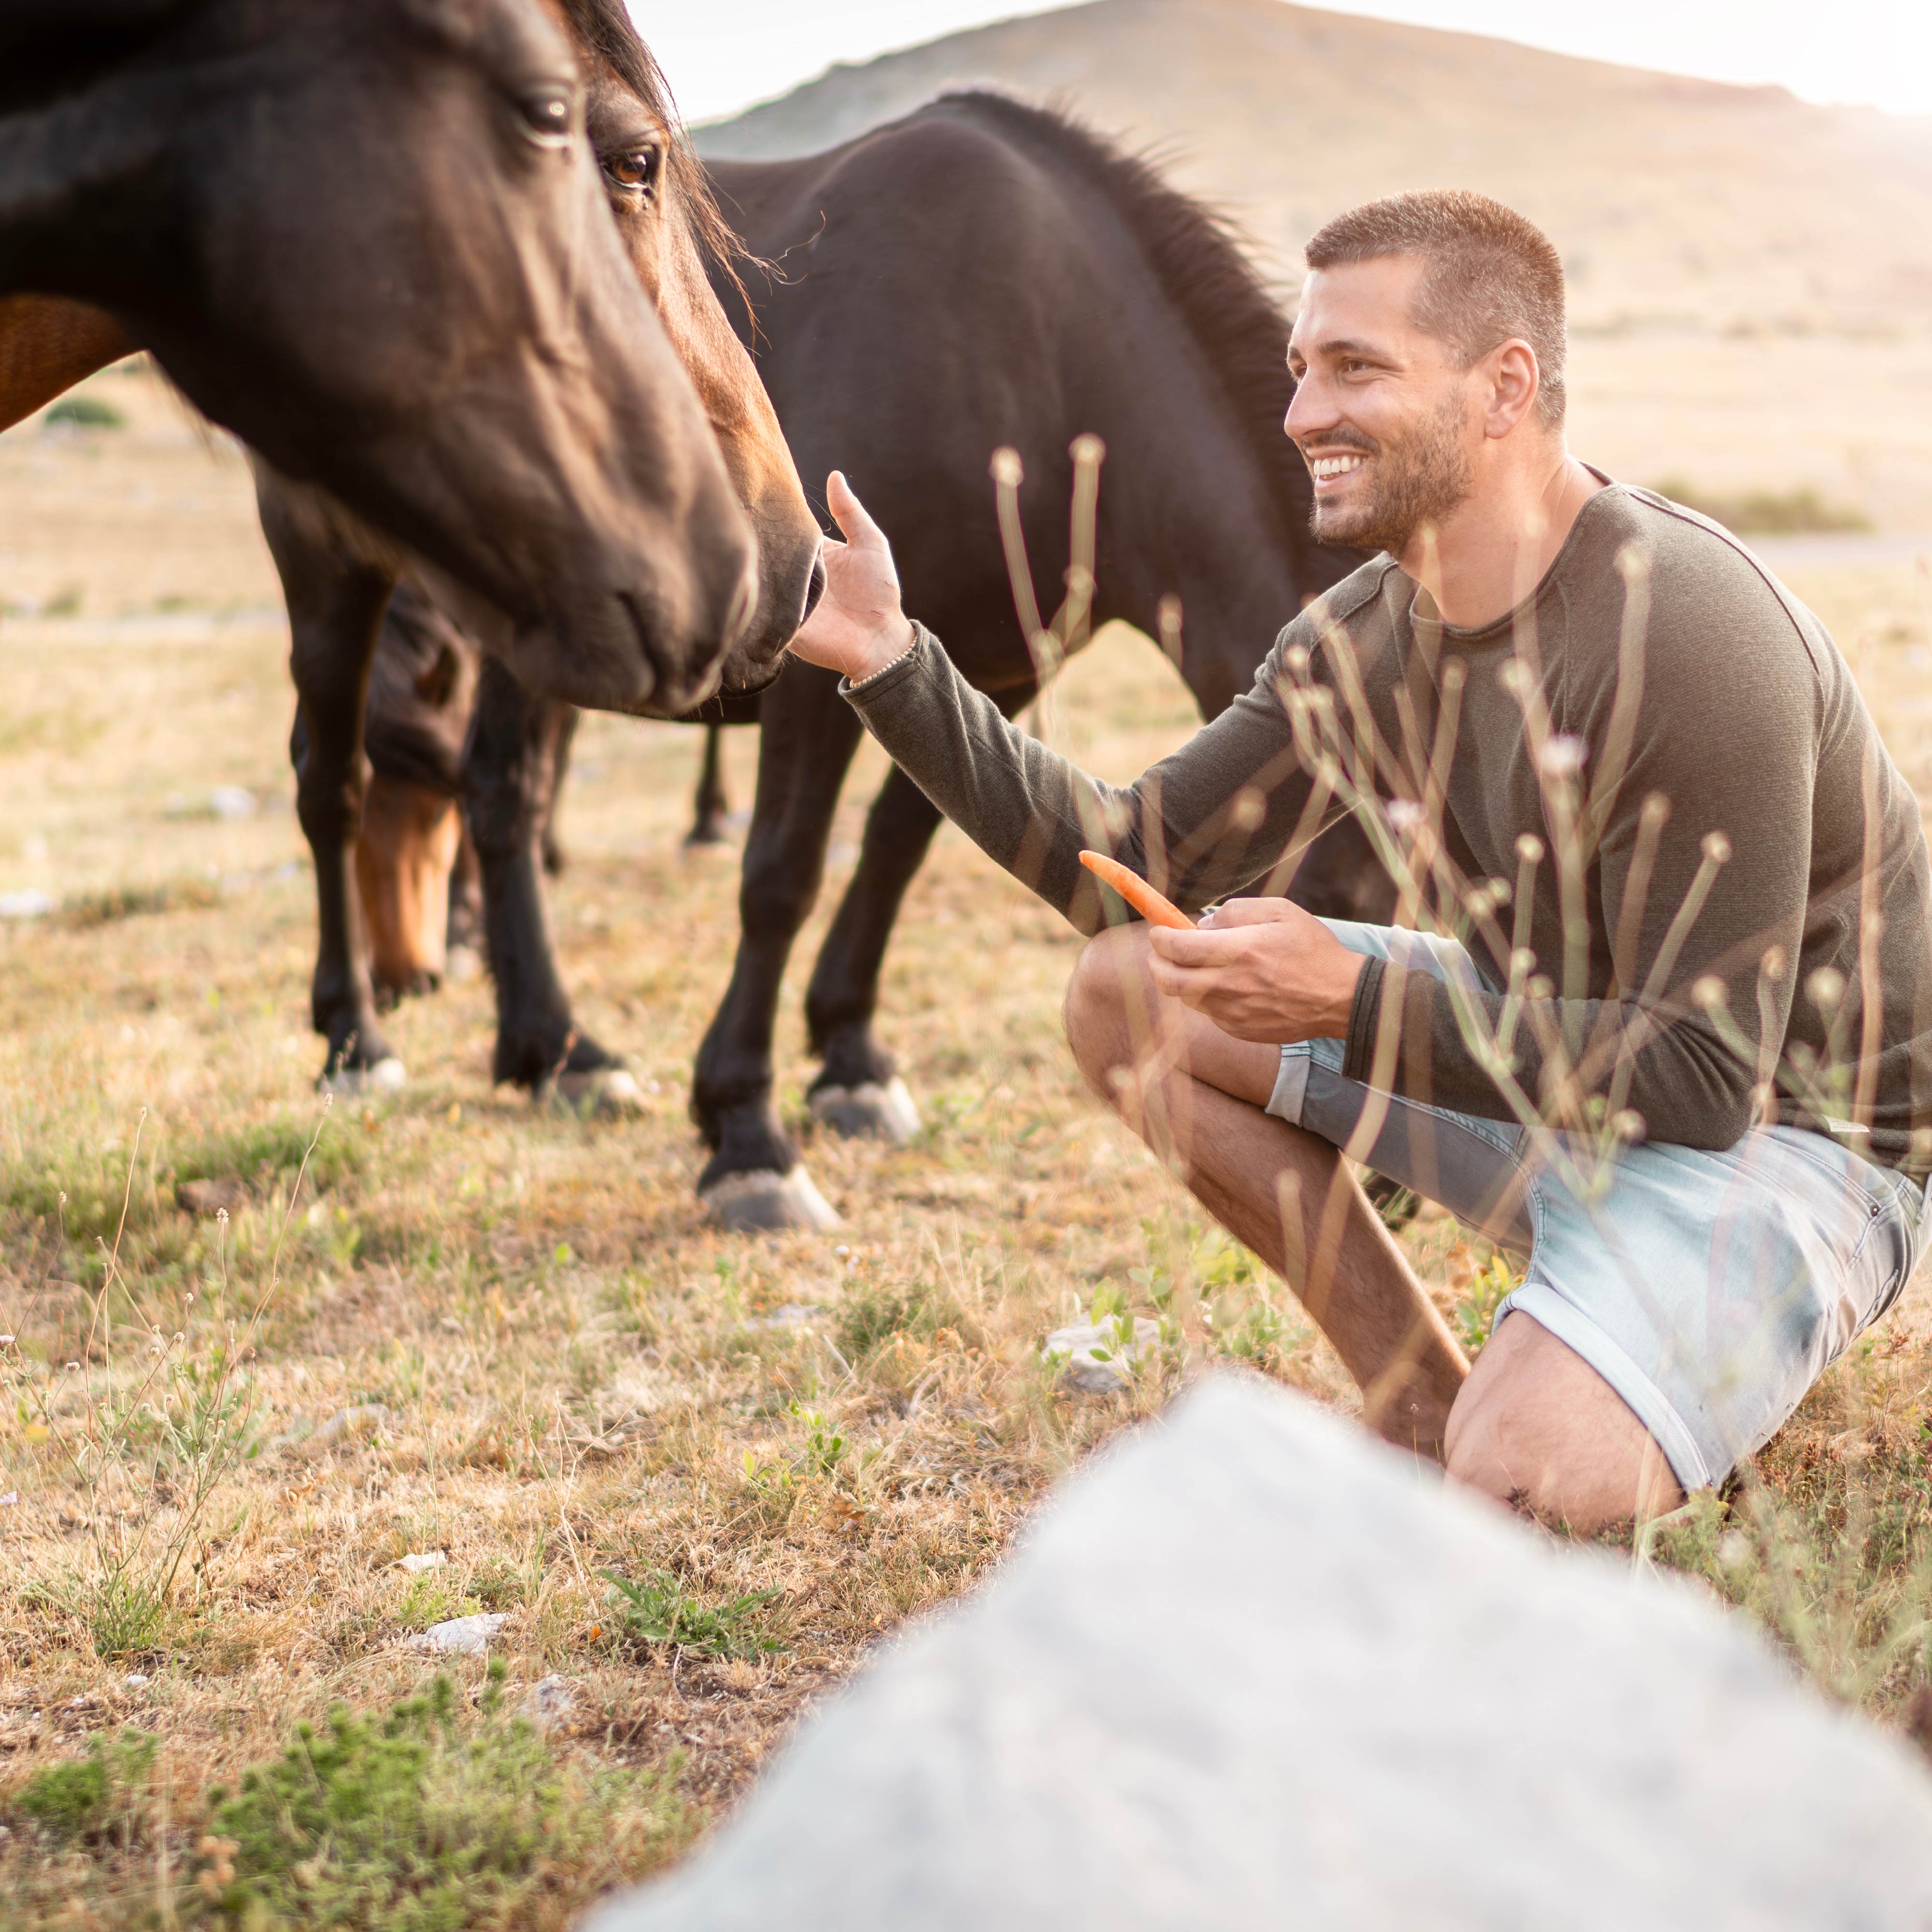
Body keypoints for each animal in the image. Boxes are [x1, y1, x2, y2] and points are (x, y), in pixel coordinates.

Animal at [336, 92, 1393, 1224]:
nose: (1388, 1183)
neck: (1034, 349)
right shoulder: (809, 675)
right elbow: (781, 876)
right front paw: (744, 1129)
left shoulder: (987, 670)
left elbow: (900, 844)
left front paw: (849, 1059)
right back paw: (384, 1041)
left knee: (503, 795)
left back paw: (551, 1053)